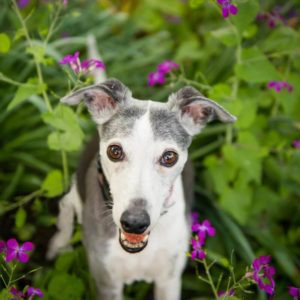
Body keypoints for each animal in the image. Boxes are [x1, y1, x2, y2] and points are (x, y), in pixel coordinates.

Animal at [47, 78, 237, 300]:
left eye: (169, 157)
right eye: (114, 151)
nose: (135, 223)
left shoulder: (169, 280)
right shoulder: (107, 282)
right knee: (65, 206)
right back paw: (59, 244)